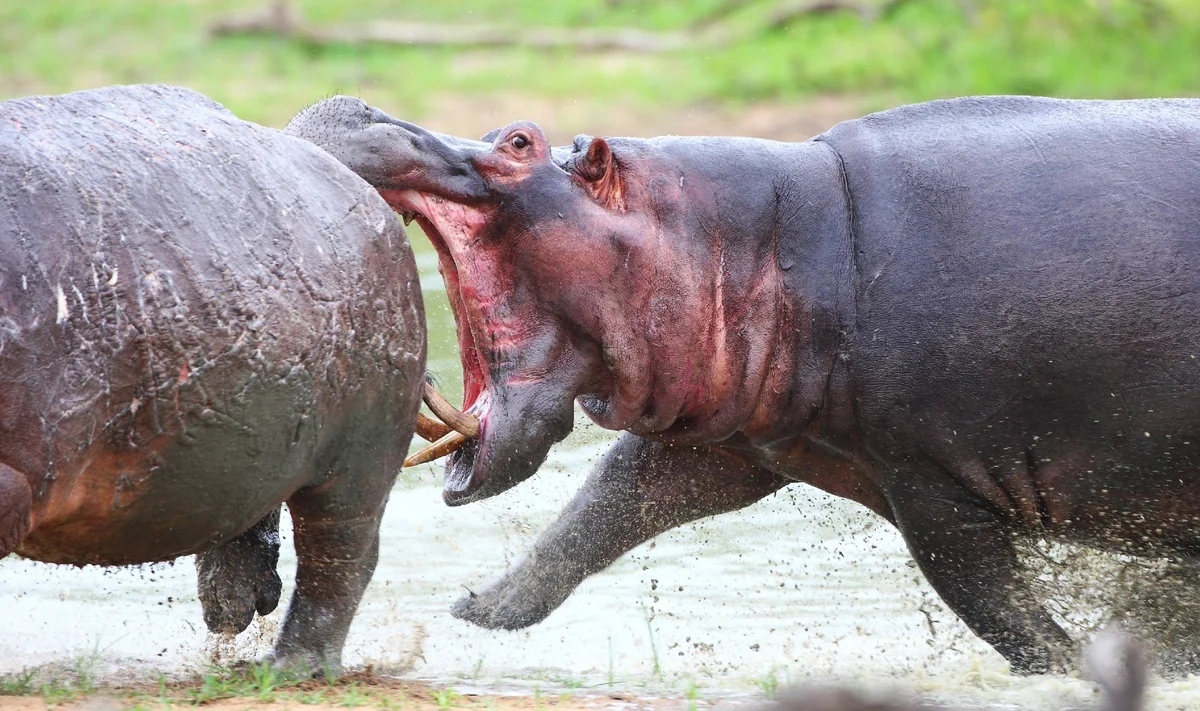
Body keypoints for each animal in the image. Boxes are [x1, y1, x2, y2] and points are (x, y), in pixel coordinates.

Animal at [288, 94, 1200, 672]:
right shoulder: (734, 442)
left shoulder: (934, 484)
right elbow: (603, 506)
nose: (359, 110)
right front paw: (475, 606)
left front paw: (1089, 665)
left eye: (519, 141)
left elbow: (998, 609)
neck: (772, 236)